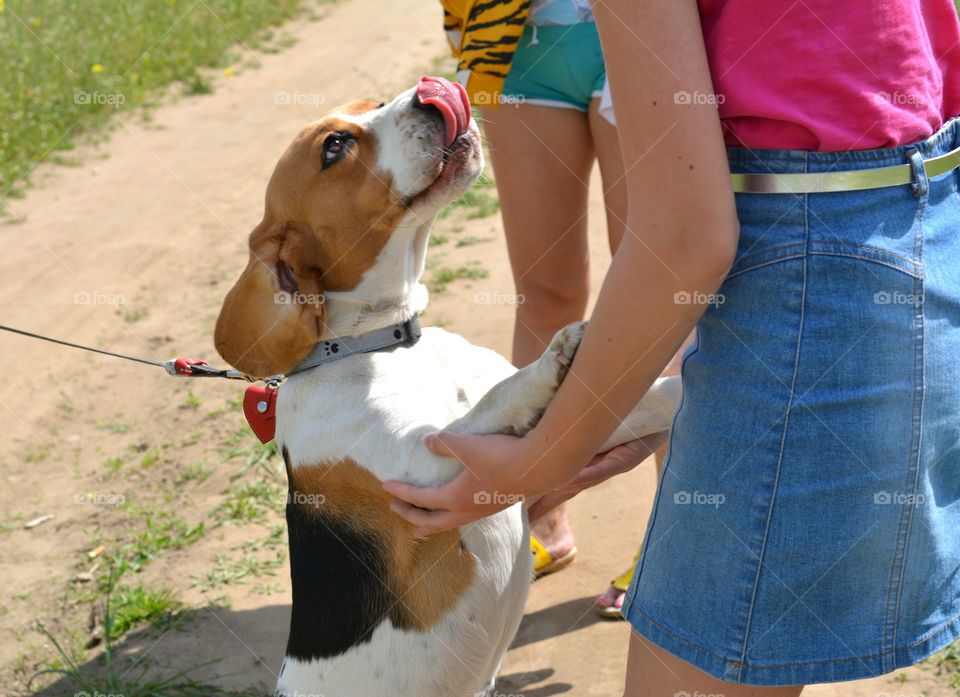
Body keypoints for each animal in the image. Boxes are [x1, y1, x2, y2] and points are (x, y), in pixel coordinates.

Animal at [216, 76, 684, 696]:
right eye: (335, 147)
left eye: (372, 104)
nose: (429, 90)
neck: (389, 344)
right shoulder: (421, 467)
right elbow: (496, 399)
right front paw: (550, 361)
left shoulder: (550, 436)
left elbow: (640, 399)